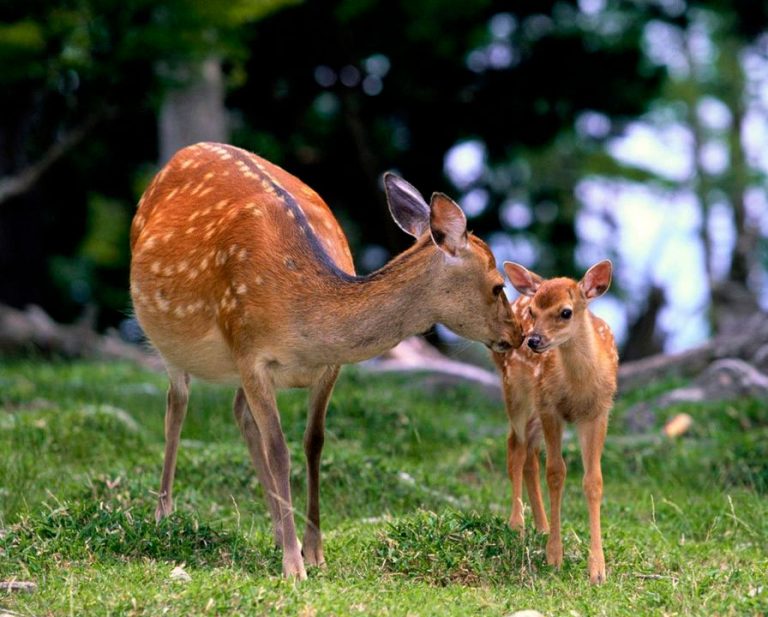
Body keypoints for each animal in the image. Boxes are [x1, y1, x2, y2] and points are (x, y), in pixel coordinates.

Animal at [130, 142, 520, 580]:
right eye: (497, 286)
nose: (518, 336)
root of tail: (182, 153)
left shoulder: (328, 368)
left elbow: (313, 443)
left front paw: (314, 552)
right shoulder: (249, 352)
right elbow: (279, 450)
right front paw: (293, 567)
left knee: (239, 413)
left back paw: (279, 532)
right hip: (169, 340)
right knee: (176, 406)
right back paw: (164, 514)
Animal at [492, 258, 616, 584]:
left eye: (565, 312)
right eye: (534, 312)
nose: (533, 340)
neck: (578, 387)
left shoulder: (598, 412)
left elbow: (593, 481)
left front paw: (597, 570)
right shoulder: (551, 408)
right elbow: (556, 474)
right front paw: (554, 557)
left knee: (529, 455)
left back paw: (542, 525)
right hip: (516, 392)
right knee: (515, 448)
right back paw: (517, 524)